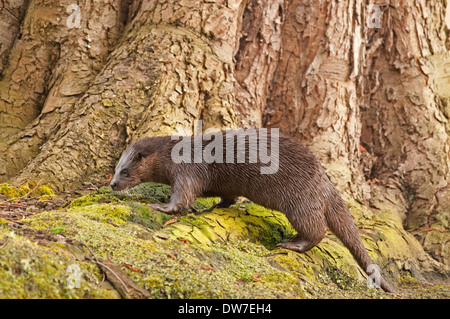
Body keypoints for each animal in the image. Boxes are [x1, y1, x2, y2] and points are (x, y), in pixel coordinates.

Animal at [111, 129, 394, 292]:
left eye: (125, 171)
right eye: (115, 168)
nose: (112, 184)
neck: (175, 154)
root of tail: (323, 180)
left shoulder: (187, 170)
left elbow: (183, 197)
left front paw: (162, 206)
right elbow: (227, 196)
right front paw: (216, 205)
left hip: (299, 200)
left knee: (317, 229)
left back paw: (291, 244)